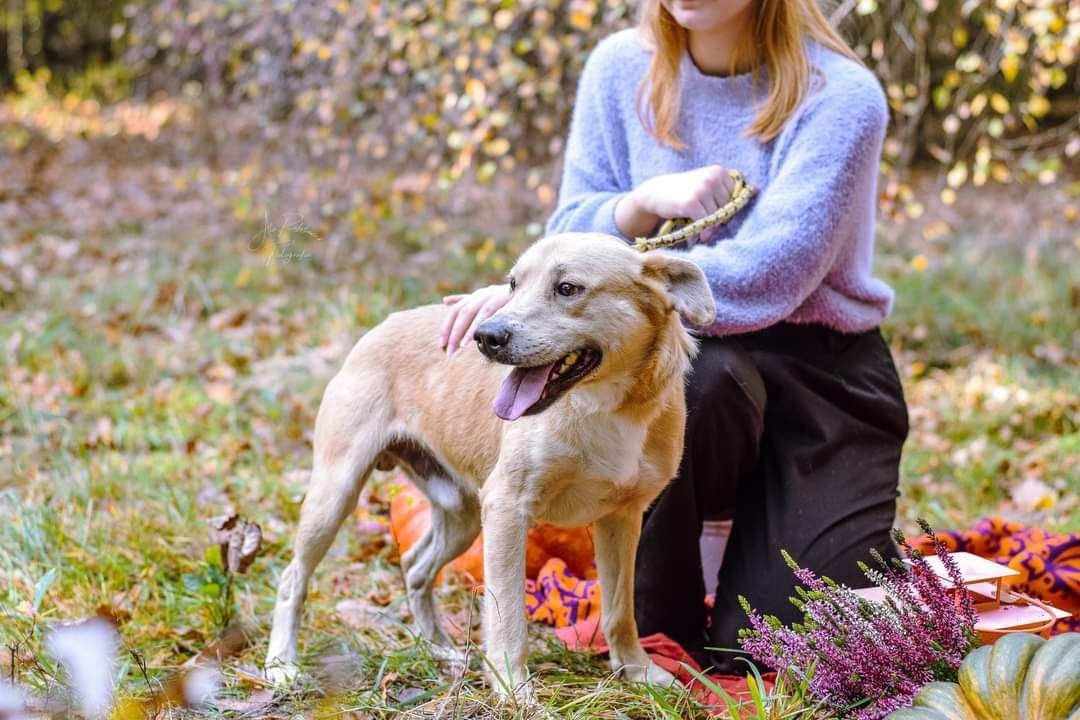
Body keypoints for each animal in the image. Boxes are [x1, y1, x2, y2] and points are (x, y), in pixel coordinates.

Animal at [263, 232, 717, 703]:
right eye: (513, 284)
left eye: (567, 288)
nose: (485, 336)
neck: (604, 407)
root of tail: (382, 324)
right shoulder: (507, 508)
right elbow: (508, 615)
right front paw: (512, 687)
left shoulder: (622, 519)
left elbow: (619, 611)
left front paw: (636, 671)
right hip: (337, 493)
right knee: (292, 578)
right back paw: (281, 666)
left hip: (461, 516)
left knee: (416, 566)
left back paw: (439, 650)